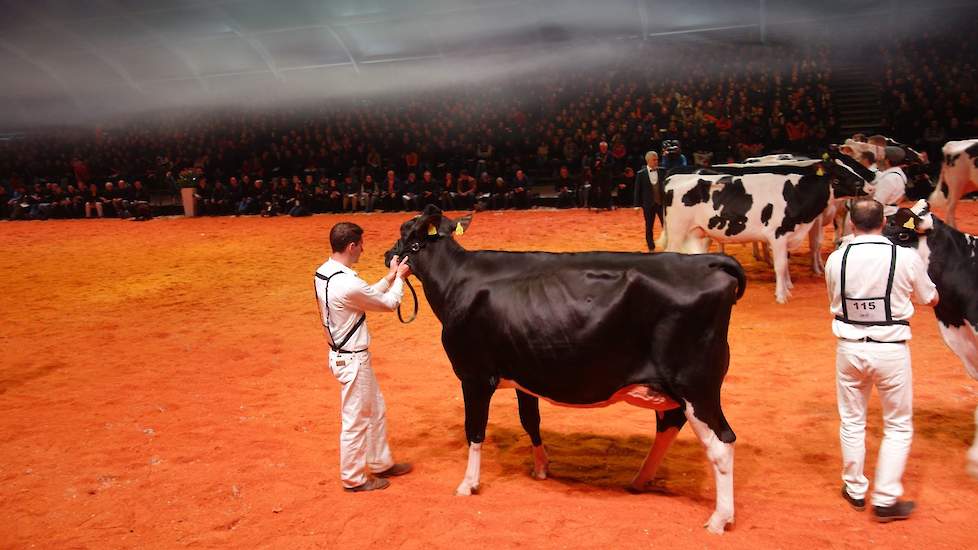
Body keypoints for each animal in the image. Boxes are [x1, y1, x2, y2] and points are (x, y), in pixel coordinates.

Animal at [386, 206, 744, 536]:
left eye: (406, 234)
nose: (389, 254)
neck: (456, 280)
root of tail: (707, 262)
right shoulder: (524, 372)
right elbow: (530, 420)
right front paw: (542, 468)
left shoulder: (473, 375)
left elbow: (474, 430)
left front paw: (468, 484)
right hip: (677, 387)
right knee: (671, 425)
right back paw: (640, 480)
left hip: (696, 386)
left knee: (721, 443)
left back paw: (718, 519)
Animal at [660, 153, 872, 304]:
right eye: (840, 176)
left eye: (850, 168)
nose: (869, 186)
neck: (796, 194)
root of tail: (674, 177)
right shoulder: (778, 234)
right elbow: (781, 265)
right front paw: (782, 296)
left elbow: (785, 264)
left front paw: (788, 288)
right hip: (677, 231)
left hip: (697, 232)